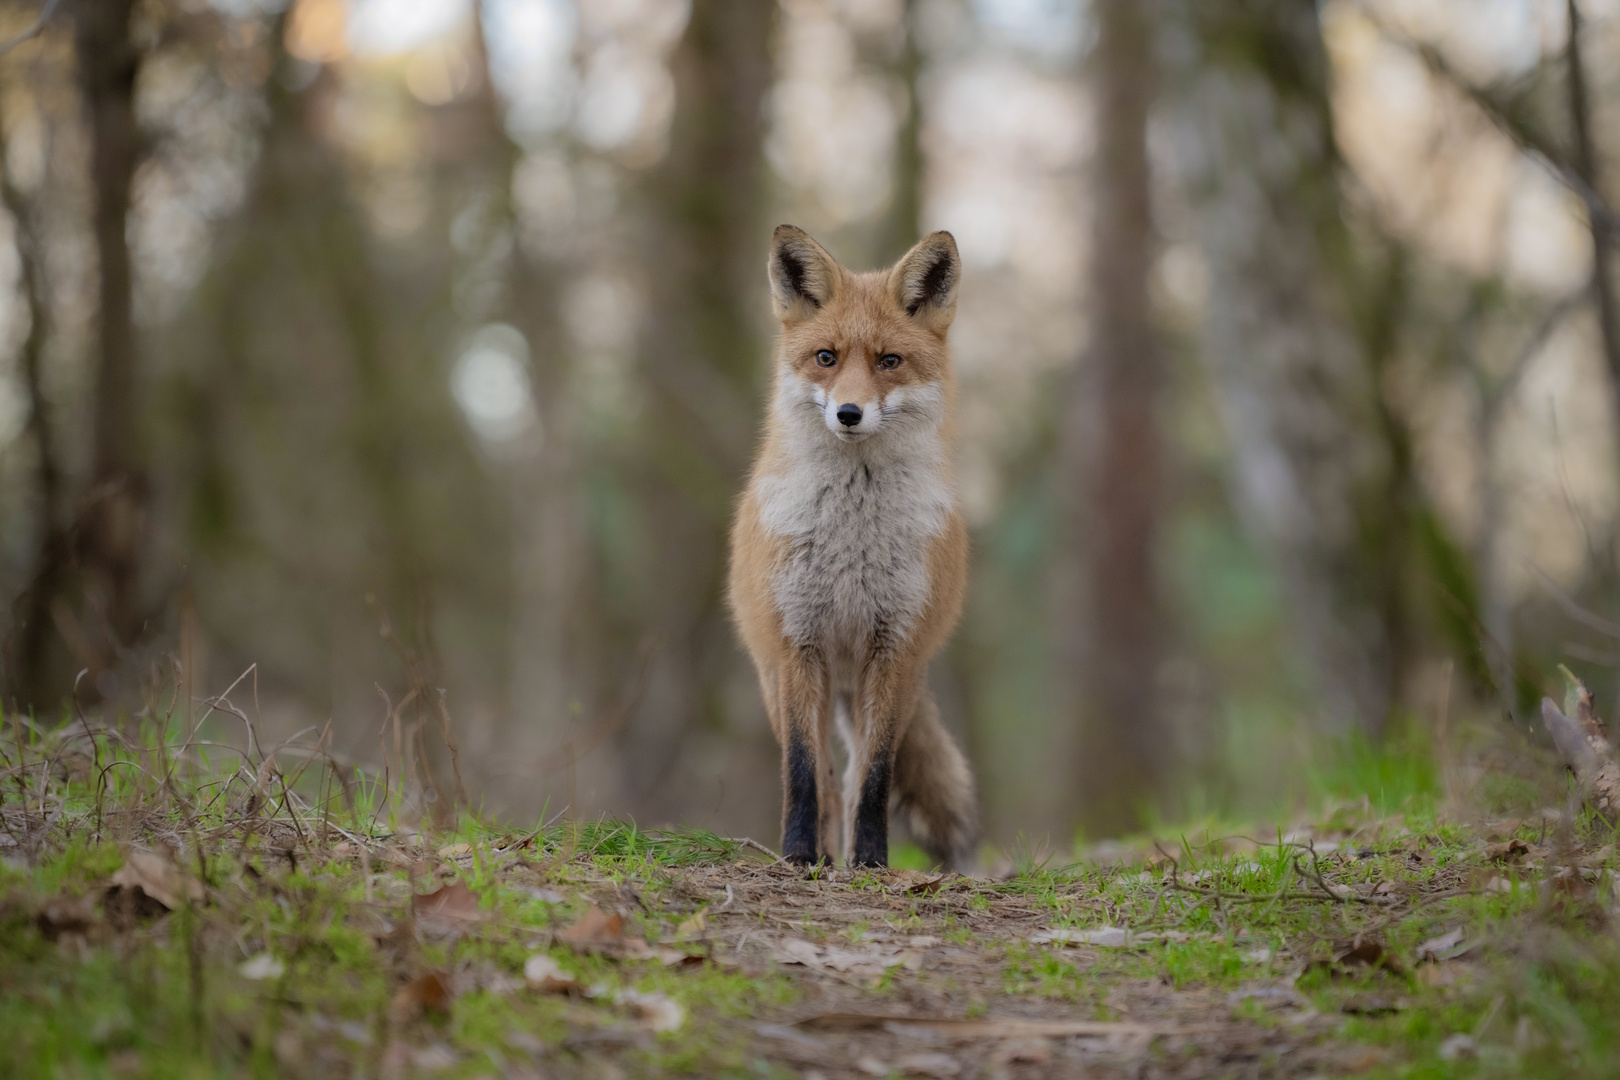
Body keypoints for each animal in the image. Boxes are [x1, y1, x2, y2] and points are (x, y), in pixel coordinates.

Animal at [732, 226, 972, 867]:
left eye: (889, 361)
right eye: (827, 358)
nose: (848, 413)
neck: (851, 539)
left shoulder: (895, 647)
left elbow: (876, 777)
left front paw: (869, 861)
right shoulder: (797, 642)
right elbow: (802, 774)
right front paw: (797, 855)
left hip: (883, 686)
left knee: (853, 777)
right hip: (777, 681)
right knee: (827, 782)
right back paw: (819, 850)